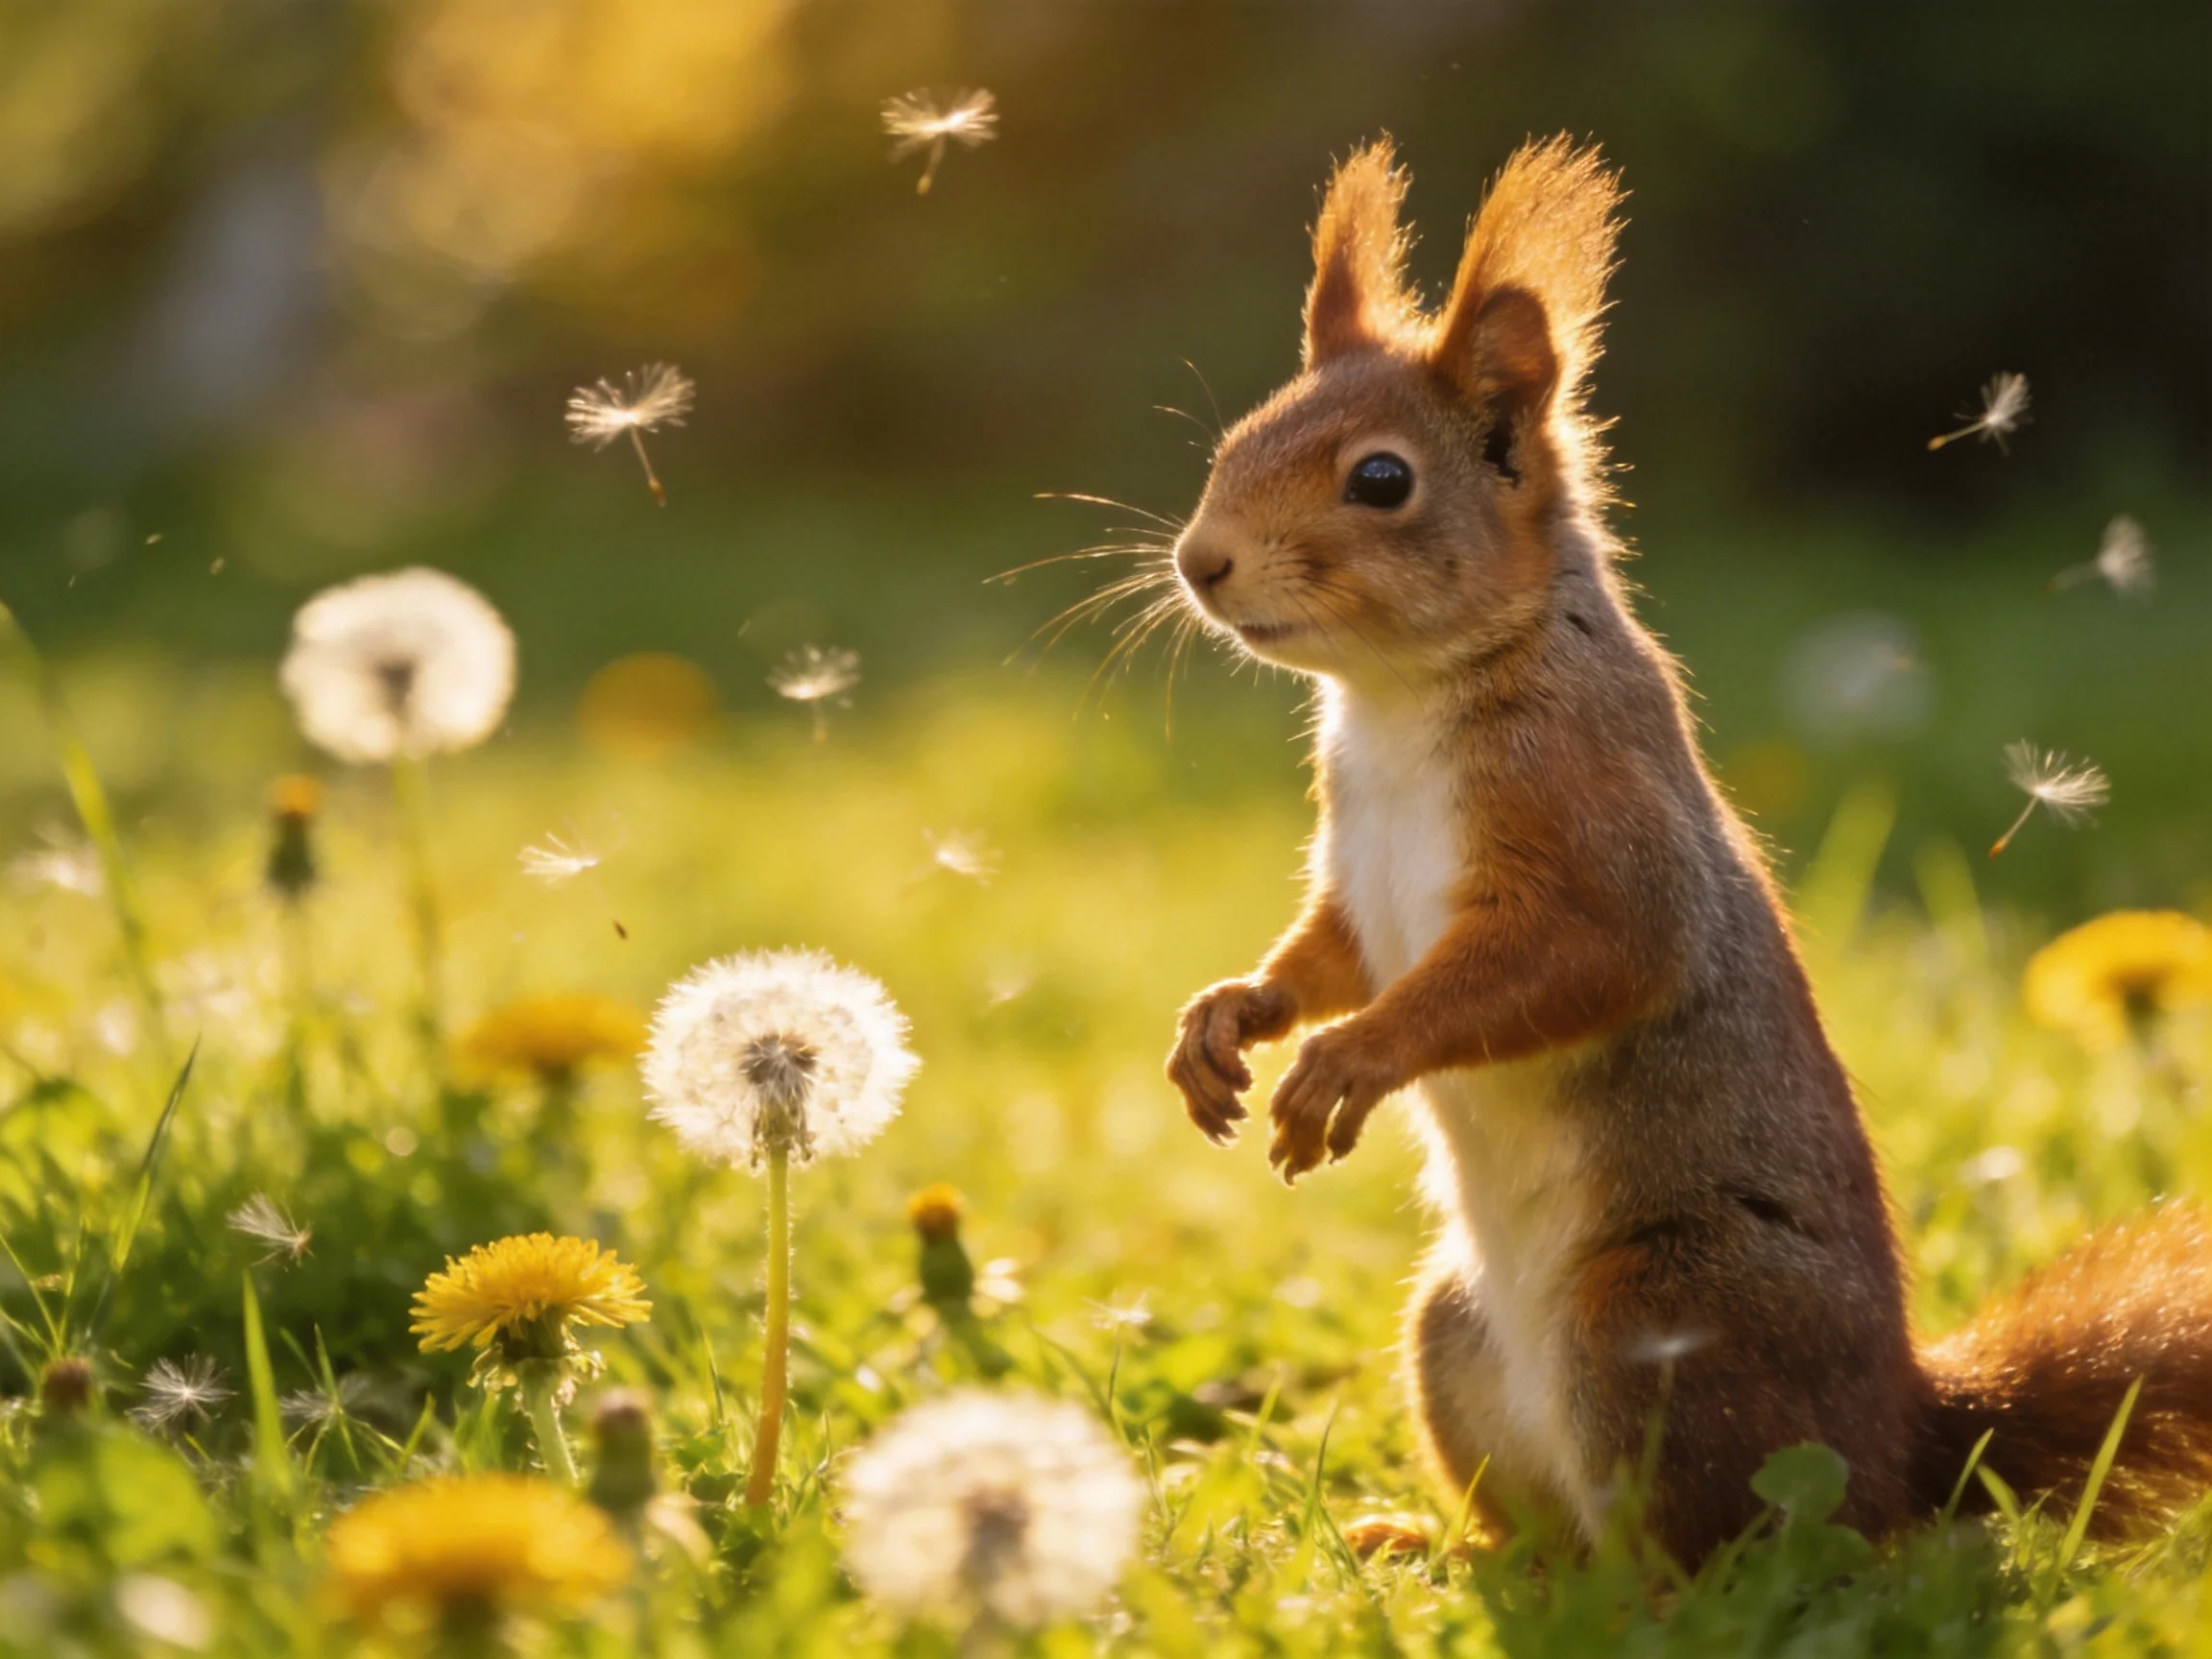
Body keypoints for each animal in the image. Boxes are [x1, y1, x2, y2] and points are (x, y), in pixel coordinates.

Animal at [1161, 135, 2212, 1565]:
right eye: (1234, 441)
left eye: (1381, 480)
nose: (1199, 563)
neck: (1396, 700)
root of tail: (1910, 1440)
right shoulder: (1359, 883)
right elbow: (1326, 956)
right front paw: (1225, 1021)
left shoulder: (1601, 828)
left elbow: (1582, 957)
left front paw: (1347, 1063)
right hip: (1454, 1336)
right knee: (1548, 1543)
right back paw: (1435, 1548)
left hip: (1656, 1320)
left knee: (1717, 1552)